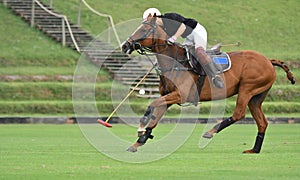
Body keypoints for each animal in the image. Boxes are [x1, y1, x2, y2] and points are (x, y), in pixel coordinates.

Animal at [121, 15, 296, 153]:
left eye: (144, 29)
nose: (125, 45)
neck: (175, 62)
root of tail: (268, 60)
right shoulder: (169, 97)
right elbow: (155, 117)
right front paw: (139, 142)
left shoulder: (180, 95)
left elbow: (151, 105)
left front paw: (141, 128)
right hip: (256, 97)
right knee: (262, 122)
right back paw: (254, 150)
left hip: (247, 89)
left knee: (239, 114)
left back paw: (210, 132)